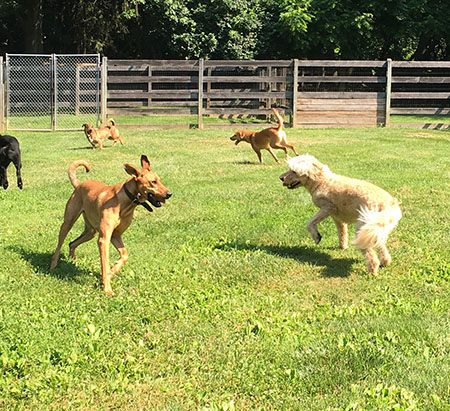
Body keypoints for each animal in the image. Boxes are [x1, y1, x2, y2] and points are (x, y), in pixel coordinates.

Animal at [50, 156, 171, 294]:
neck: (124, 202)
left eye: (160, 180)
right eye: (153, 182)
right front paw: (107, 289)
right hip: (68, 222)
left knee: (72, 243)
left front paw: (111, 273)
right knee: (59, 245)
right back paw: (53, 266)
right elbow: (105, 264)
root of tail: (79, 184)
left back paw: (73, 261)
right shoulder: (104, 239)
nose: (169, 194)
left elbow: (124, 256)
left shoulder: (115, 236)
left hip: (91, 232)